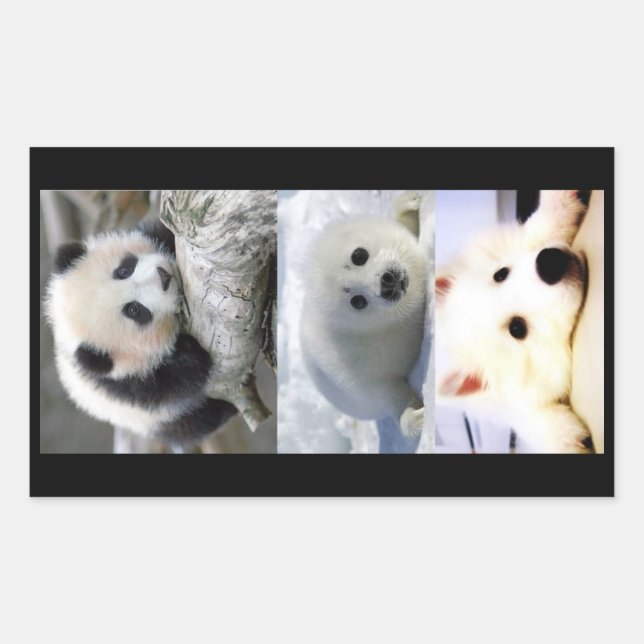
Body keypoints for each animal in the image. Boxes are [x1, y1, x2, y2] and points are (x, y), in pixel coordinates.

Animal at [44, 219, 237, 447]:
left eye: (123, 271)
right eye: (134, 310)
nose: (164, 276)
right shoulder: (127, 386)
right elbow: (170, 385)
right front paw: (191, 354)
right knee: (193, 424)